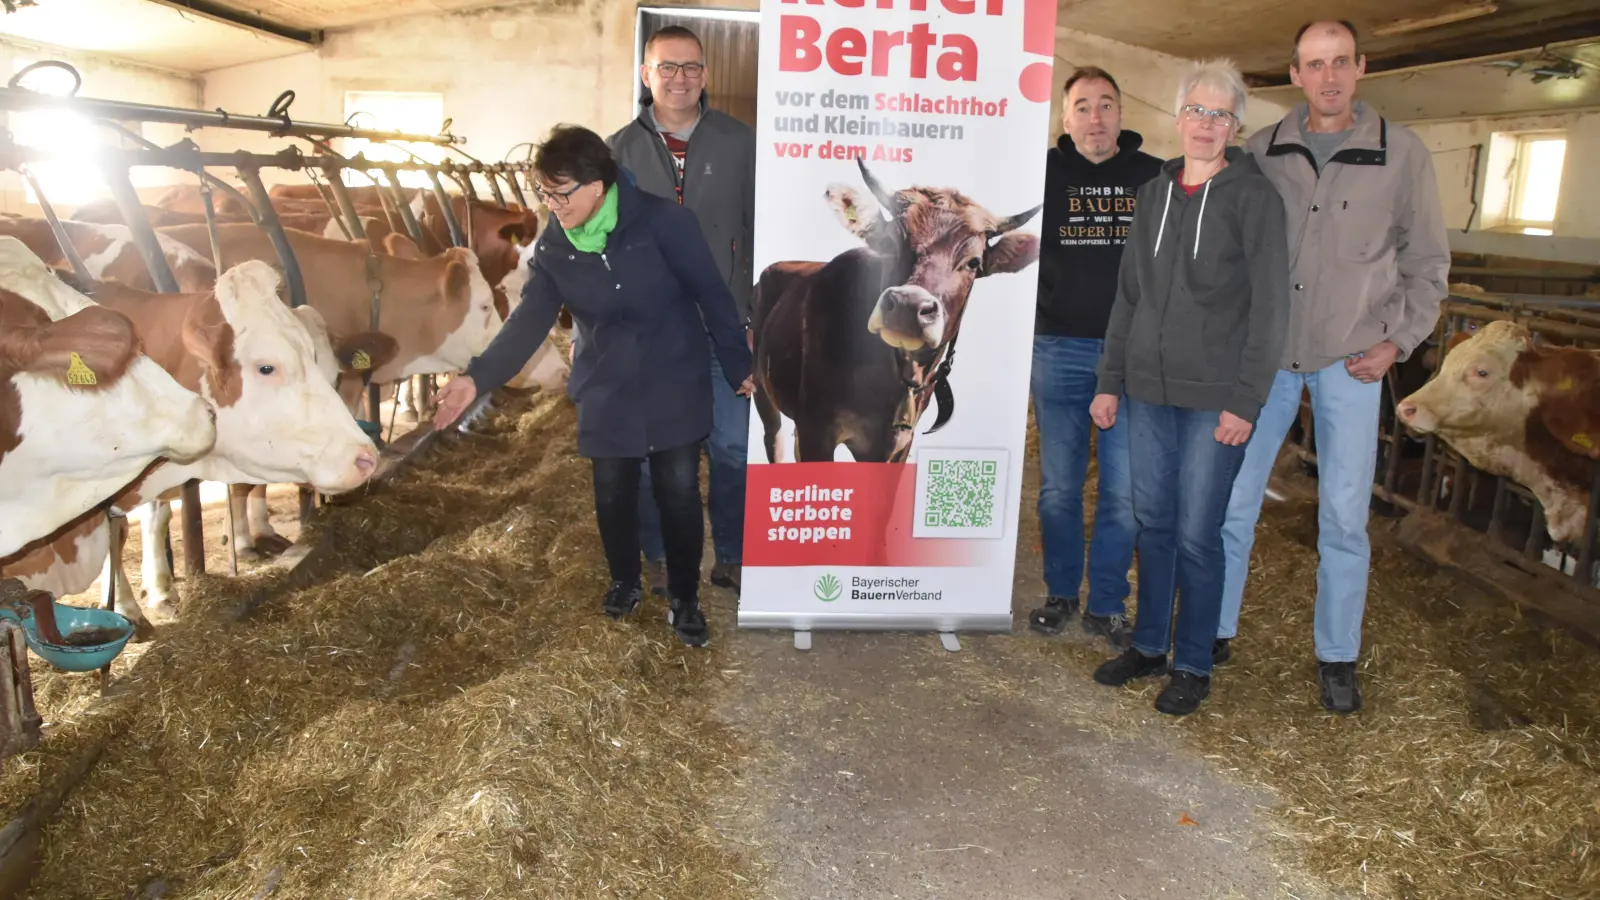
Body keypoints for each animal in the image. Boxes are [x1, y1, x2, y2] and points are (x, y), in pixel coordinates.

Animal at [755, 158, 1043, 461]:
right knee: (773, 438)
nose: (909, 305)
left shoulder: (898, 444)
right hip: (760, 383)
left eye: (974, 262)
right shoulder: (816, 429)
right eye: (889, 243)